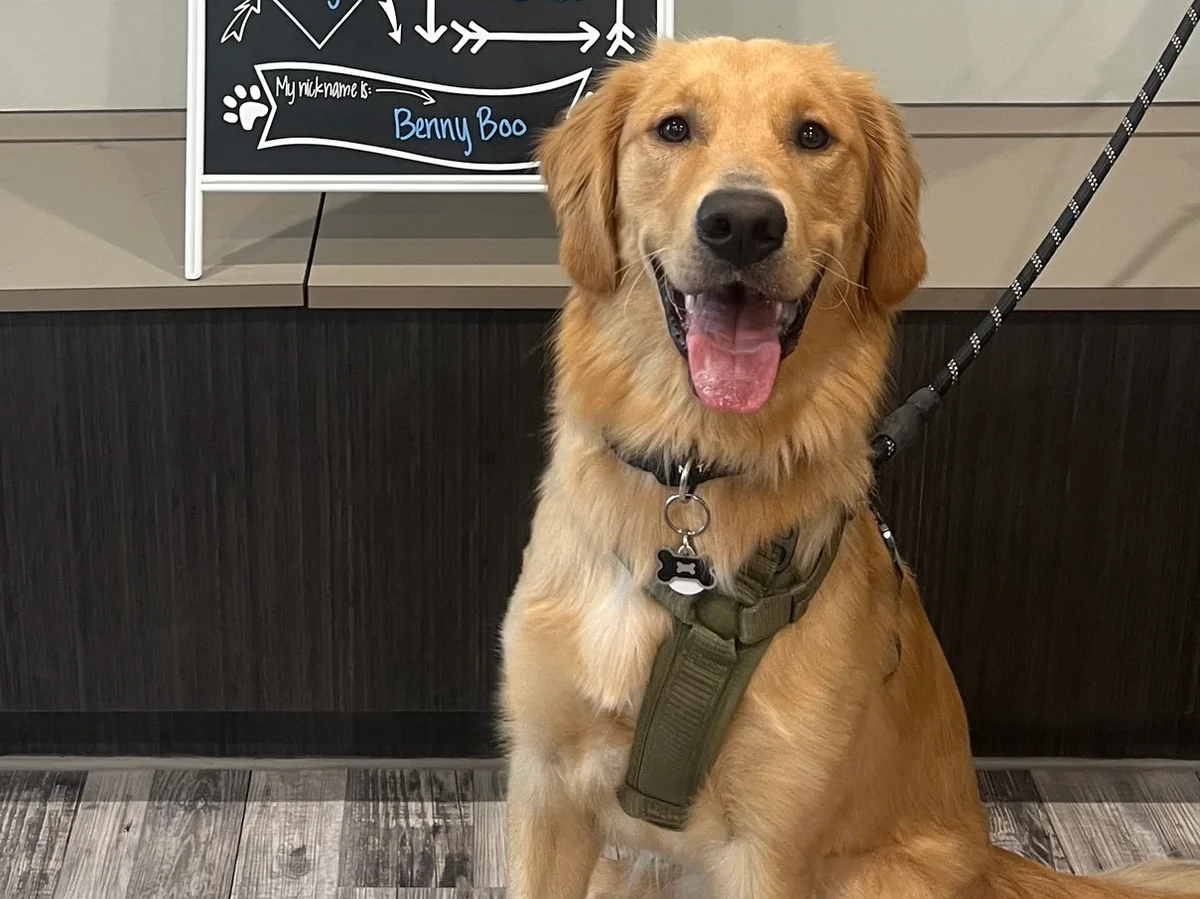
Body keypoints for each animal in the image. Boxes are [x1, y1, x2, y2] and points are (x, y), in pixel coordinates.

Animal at [497, 36, 1200, 899]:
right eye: (673, 127)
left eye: (812, 135)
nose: (743, 222)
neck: (701, 470)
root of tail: (989, 854)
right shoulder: (546, 788)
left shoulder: (767, 846)